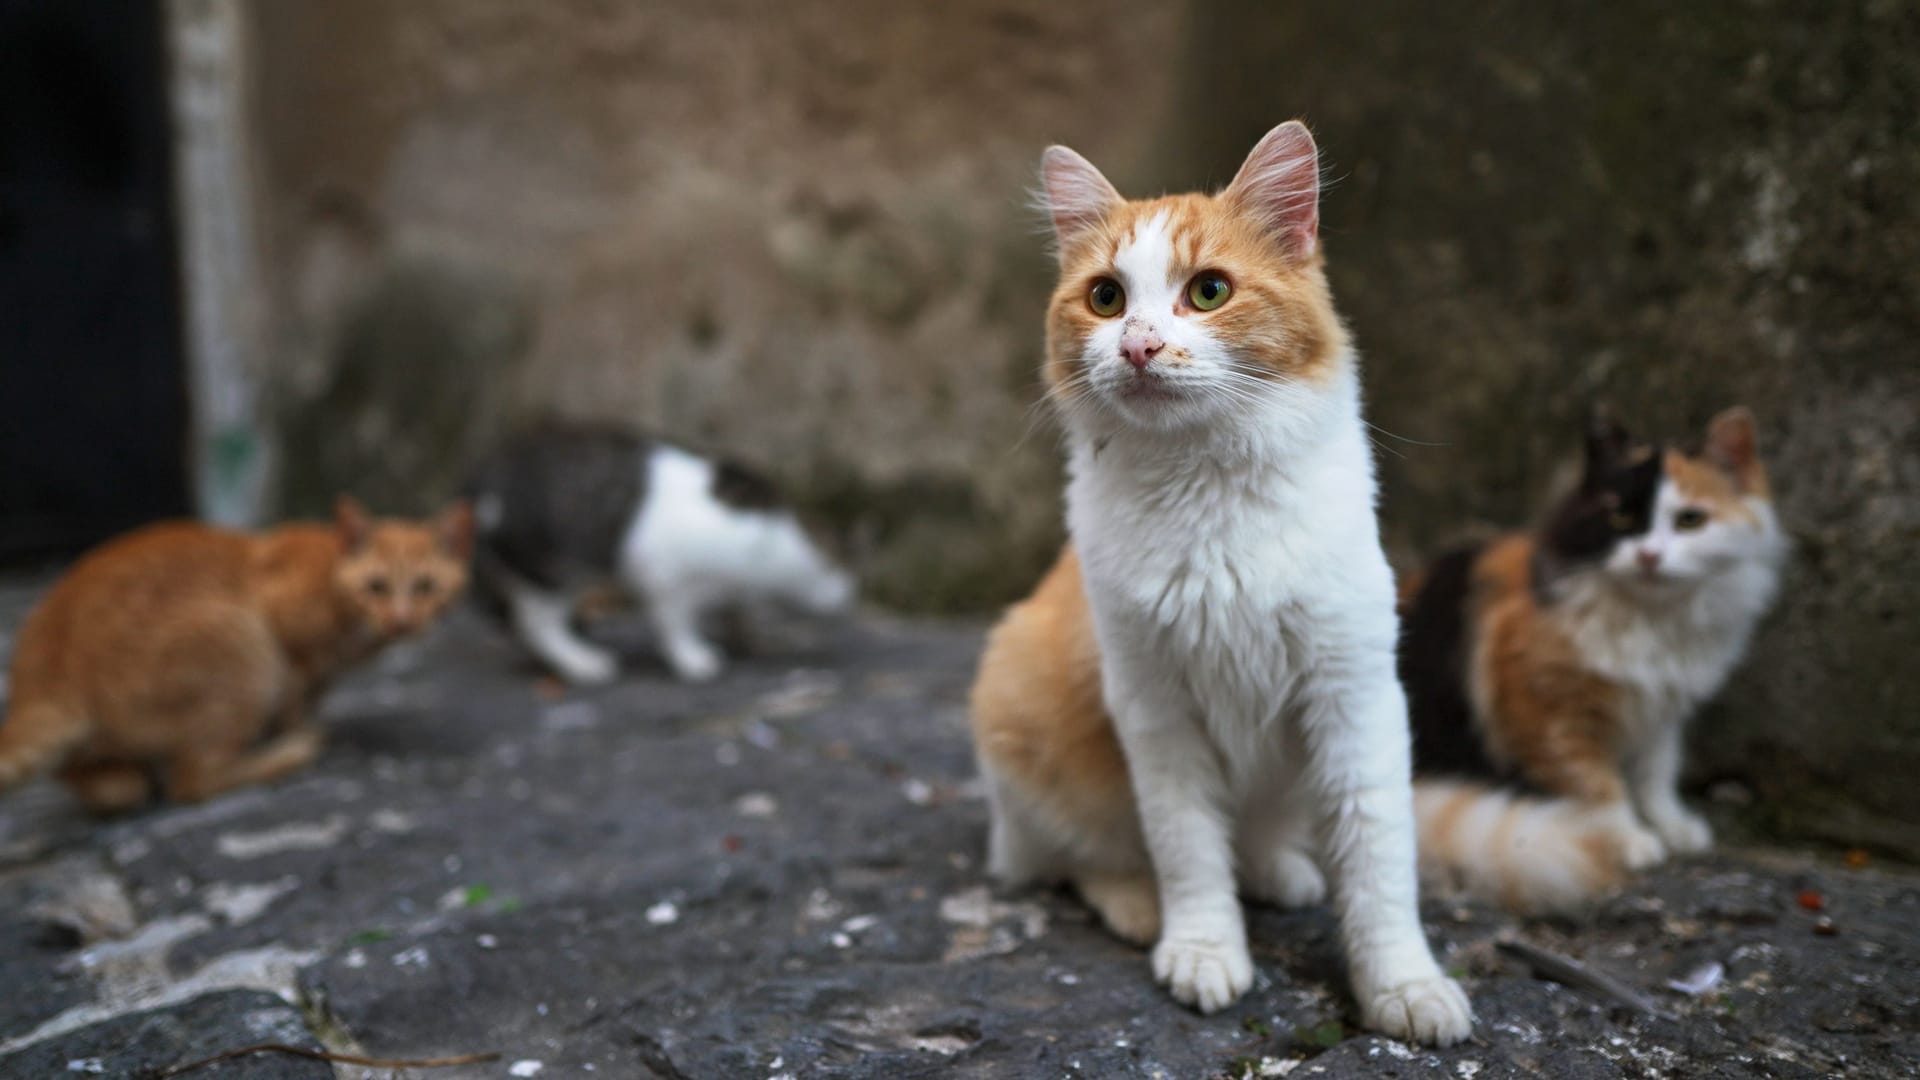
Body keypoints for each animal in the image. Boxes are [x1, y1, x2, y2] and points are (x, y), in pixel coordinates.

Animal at [0, 499, 472, 807]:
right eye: (376, 587)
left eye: (426, 587)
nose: (403, 620)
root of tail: (43, 677)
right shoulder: (287, 643)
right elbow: (296, 701)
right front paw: (293, 730)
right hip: (244, 647)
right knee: (191, 781)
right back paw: (288, 753)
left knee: (117, 787)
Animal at [464, 422, 856, 680]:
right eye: (837, 563)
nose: (849, 593)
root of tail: (480, 481)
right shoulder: (668, 580)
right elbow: (675, 625)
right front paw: (694, 658)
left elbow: (739, 615)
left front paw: (752, 639)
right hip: (551, 571)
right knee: (536, 624)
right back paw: (583, 662)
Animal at [967, 122, 1474, 1037]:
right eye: (1105, 299)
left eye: (1208, 292)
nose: (1138, 345)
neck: (1204, 487)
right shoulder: (1155, 707)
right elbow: (1188, 849)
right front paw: (1204, 949)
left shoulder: (1355, 695)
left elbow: (1377, 865)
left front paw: (1402, 985)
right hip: (1021, 726)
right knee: (1071, 860)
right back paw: (1140, 907)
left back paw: (1277, 872)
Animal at [1397, 403, 1781, 907]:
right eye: (1619, 516)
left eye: (1690, 521)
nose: (1649, 556)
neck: (1650, 621)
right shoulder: (1550, 719)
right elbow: (1598, 786)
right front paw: (1631, 841)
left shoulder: (1662, 711)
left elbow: (1656, 773)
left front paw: (1674, 826)